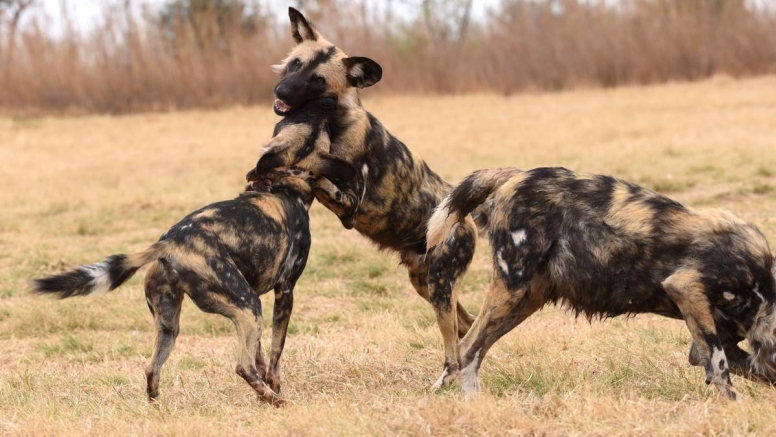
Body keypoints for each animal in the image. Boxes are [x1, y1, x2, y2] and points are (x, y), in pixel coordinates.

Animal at [31, 96, 358, 406]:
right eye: (312, 123)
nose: (329, 100)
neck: (282, 186)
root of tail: (170, 242)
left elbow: (261, 356)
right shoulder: (284, 292)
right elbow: (275, 356)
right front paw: (273, 388)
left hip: (173, 325)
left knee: (152, 369)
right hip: (249, 307)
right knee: (242, 366)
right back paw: (276, 401)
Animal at [270, 5, 482, 382]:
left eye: (318, 80)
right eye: (295, 63)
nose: (282, 90)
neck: (332, 120)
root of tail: (467, 218)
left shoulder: (349, 206)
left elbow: (311, 170)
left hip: (440, 287)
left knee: (452, 345)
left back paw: (445, 379)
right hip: (425, 283)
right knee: (466, 326)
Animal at [424, 166, 776, 398]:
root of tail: (516, 174)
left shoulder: (713, 334)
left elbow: (729, 363)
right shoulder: (687, 288)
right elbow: (720, 368)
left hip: (525, 301)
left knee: (468, 349)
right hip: (512, 287)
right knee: (469, 350)